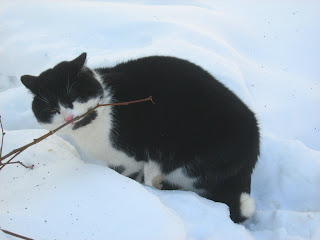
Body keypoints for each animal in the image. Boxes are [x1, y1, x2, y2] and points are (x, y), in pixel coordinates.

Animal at [21, 53, 258, 223]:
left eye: (73, 97)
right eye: (52, 108)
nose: (69, 116)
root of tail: (254, 147)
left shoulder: (129, 157)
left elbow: (124, 176)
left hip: (189, 164)